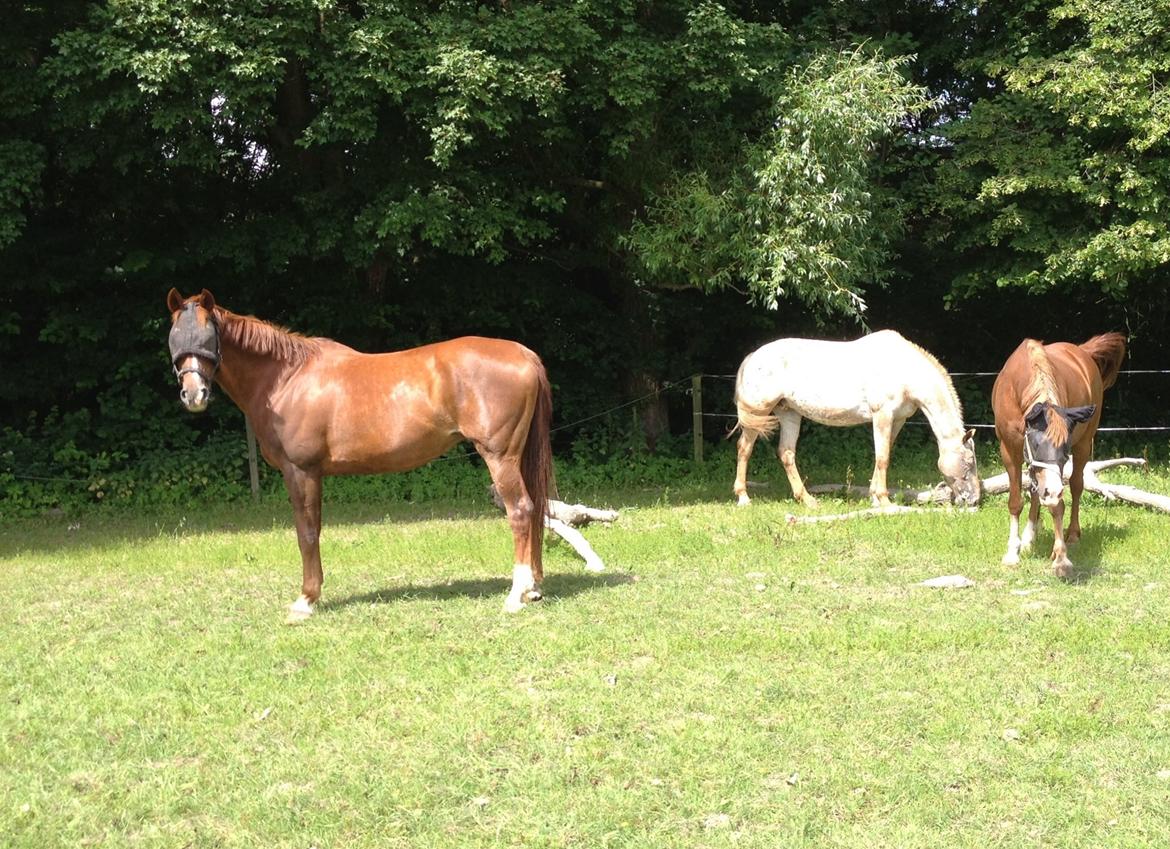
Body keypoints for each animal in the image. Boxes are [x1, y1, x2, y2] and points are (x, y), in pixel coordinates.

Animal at [167, 288, 554, 622]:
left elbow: (307, 532)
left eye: (206, 337)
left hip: (499, 456)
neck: (287, 378)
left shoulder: (301, 471)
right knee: (535, 508)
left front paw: (306, 600)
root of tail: (524, 353)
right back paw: (533, 589)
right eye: (174, 337)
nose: (194, 395)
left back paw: (515, 595)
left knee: (520, 511)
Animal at [996, 332, 1123, 577]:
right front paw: (1012, 553)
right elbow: (1017, 501)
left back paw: (1072, 533)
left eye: (1064, 448)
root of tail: (1082, 351)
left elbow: (1057, 504)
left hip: (1084, 445)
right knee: (1036, 491)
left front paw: (1061, 558)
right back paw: (1029, 538)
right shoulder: (1010, 451)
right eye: (1035, 444)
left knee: (1076, 486)